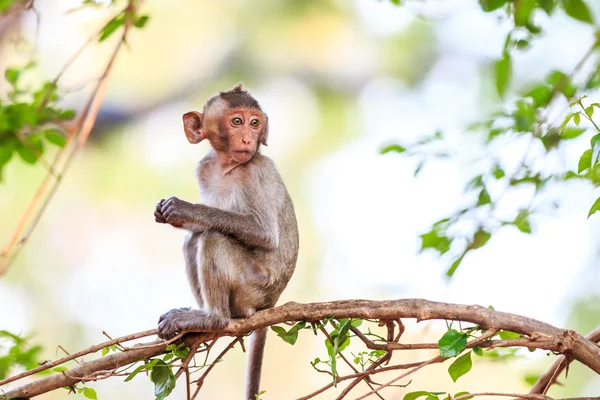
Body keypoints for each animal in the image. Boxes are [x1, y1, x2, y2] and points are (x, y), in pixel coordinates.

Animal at [152, 84, 298, 400]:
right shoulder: (204, 167)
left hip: (253, 287)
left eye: (254, 123)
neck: (228, 165)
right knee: (194, 239)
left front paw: (184, 209)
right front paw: (169, 214)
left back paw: (213, 318)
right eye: (237, 121)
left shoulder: (258, 171)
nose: (247, 138)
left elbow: (263, 232)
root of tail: (270, 303)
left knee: (213, 237)